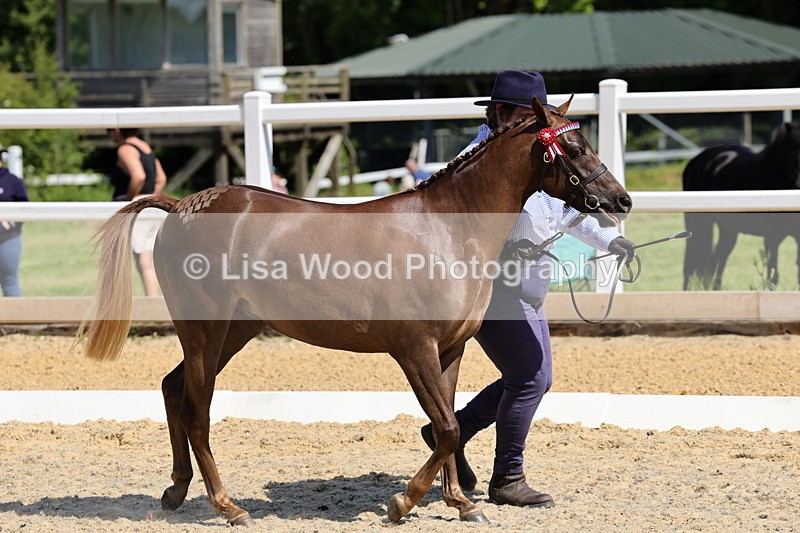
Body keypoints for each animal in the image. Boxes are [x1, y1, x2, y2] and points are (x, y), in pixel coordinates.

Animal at [77, 96, 631, 526]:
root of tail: (181, 206)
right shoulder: (413, 349)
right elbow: (447, 428)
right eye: (574, 148)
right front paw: (403, 502)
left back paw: (176, 492)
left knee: (173, 390)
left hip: (233, 331)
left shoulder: (450, 350)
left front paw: (461, 503)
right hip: (205, 332)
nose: (620, 200)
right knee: (197, 412)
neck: (448, 231)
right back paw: (228, 506)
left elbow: (450, 422)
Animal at [683, 120, 800, 290]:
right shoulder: (771, 237)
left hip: (728, 230)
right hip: (697, 224)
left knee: (717, 261)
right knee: (690, 265)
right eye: (793, 149)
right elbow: (772, 277)